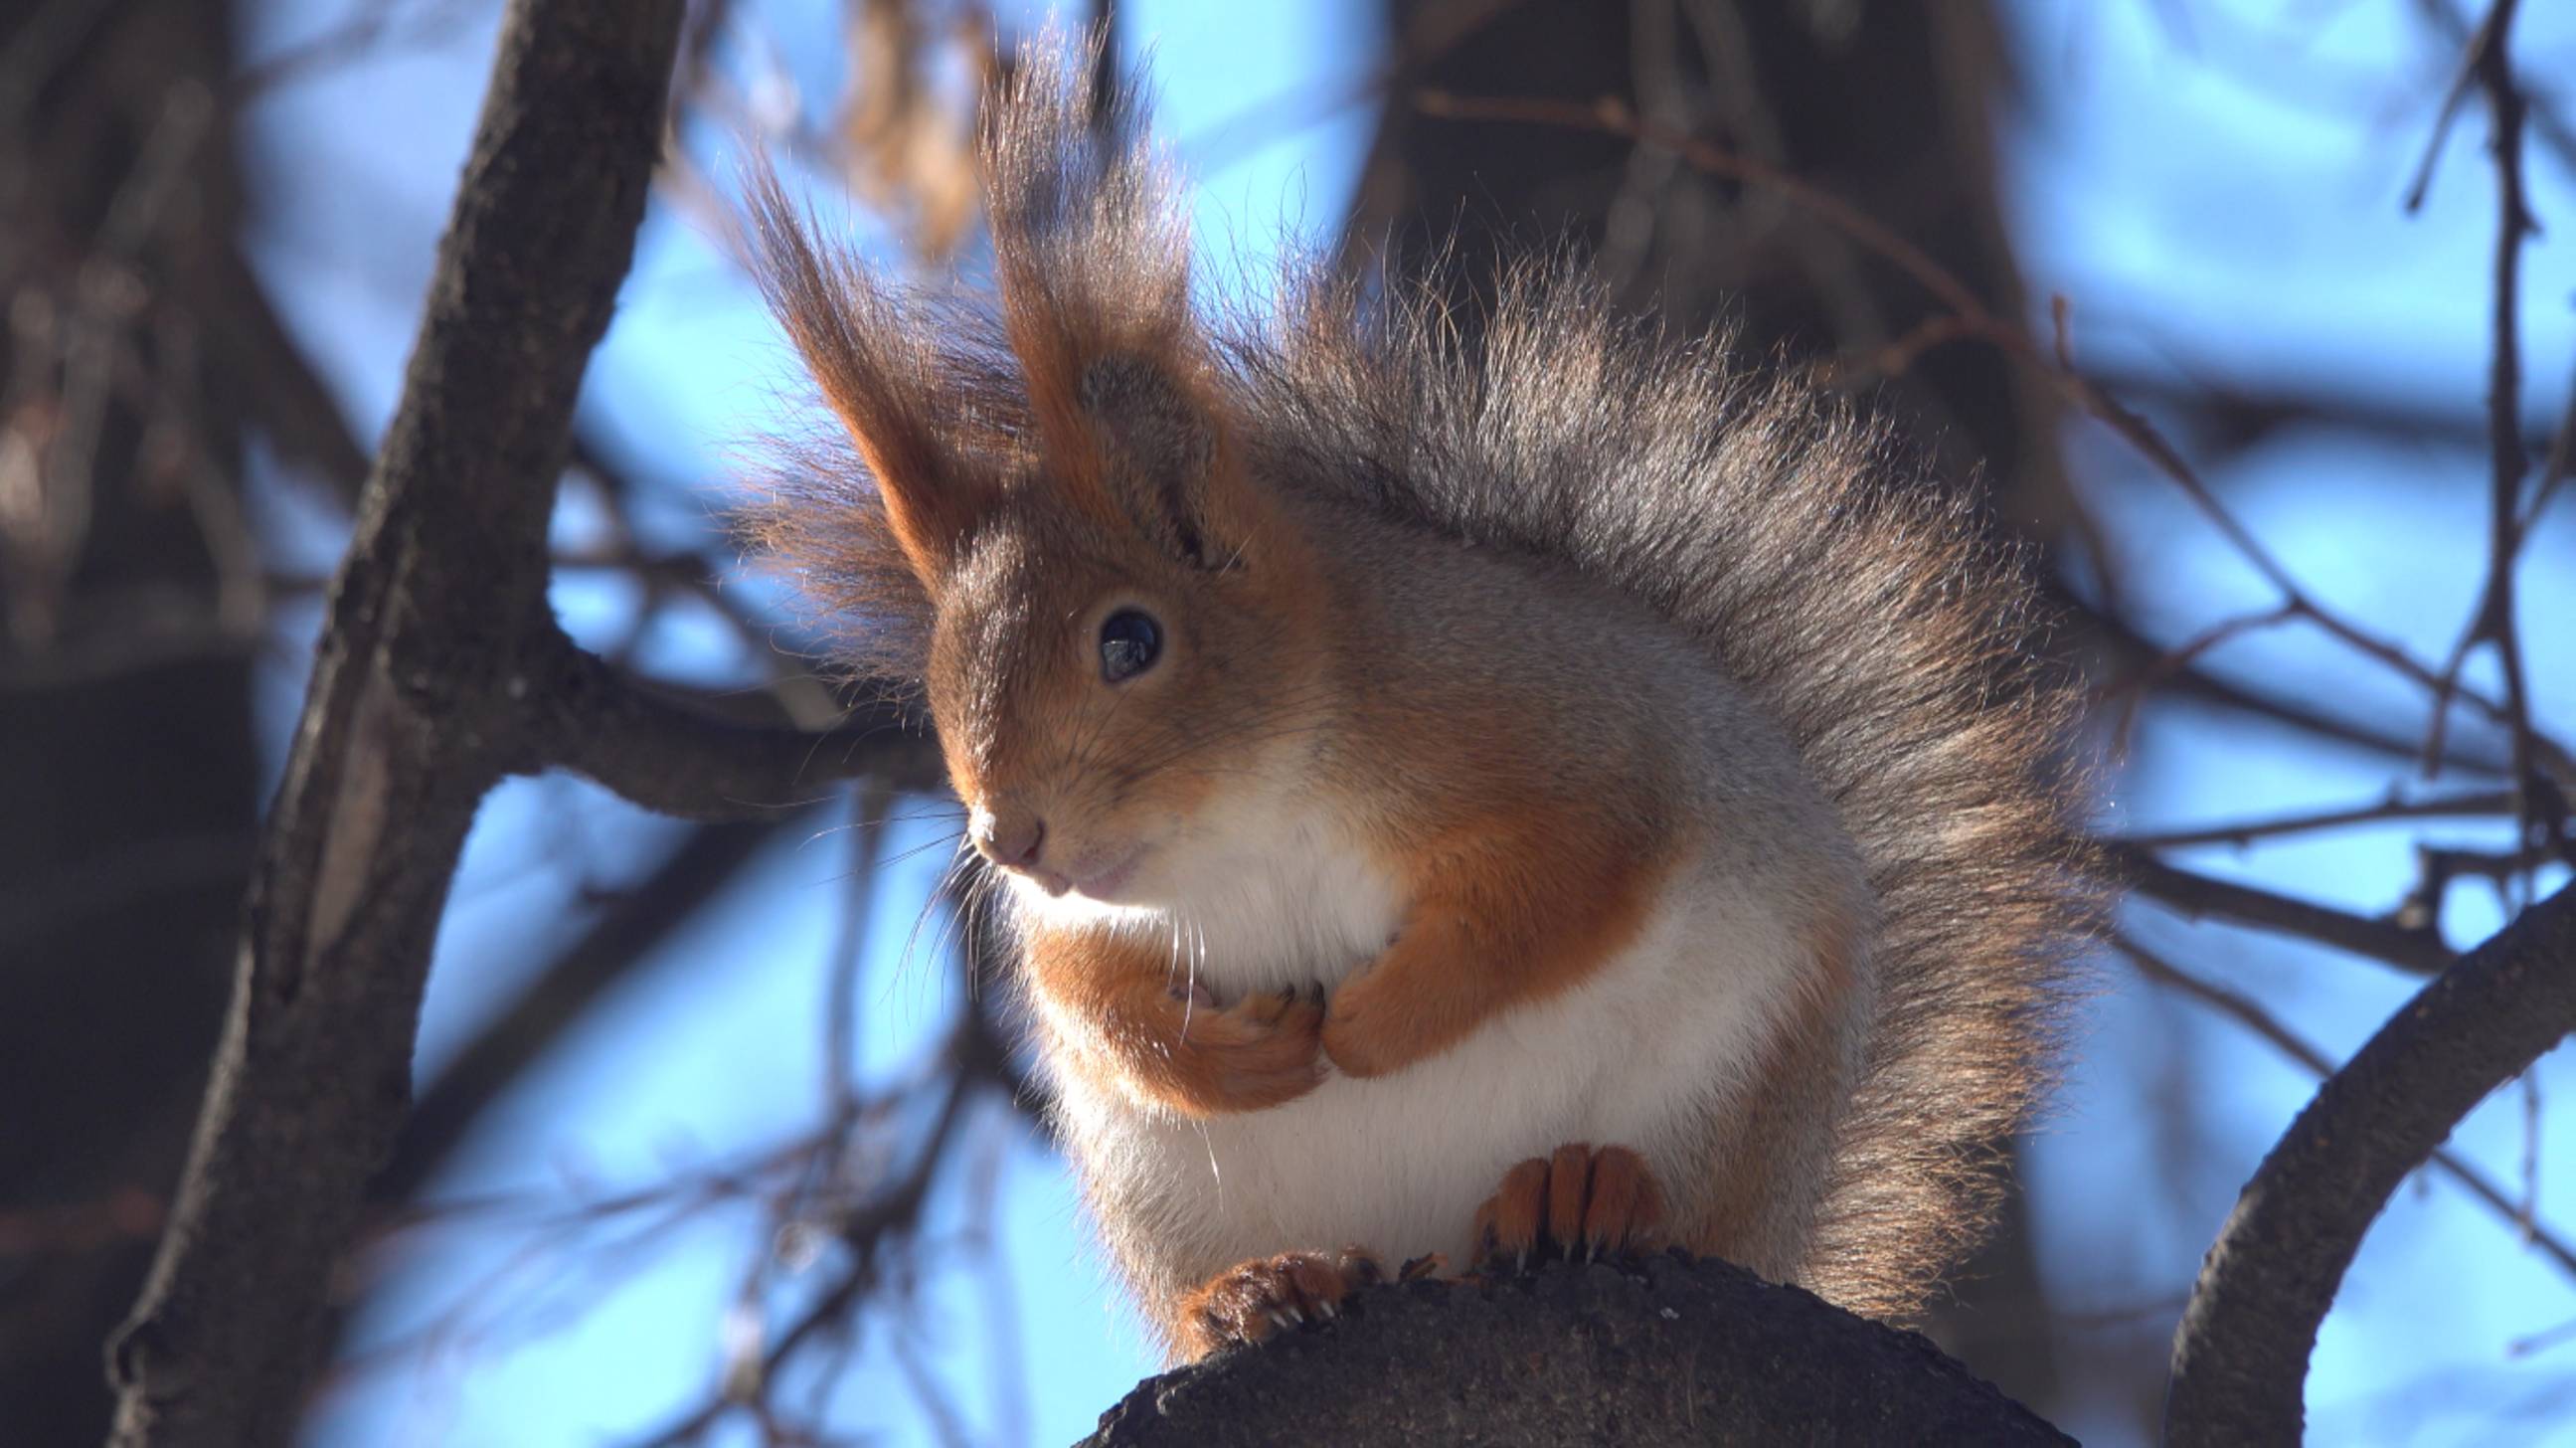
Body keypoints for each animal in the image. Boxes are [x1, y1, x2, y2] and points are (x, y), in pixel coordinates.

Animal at [742, 36, 2091, 1359]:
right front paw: (1229, 1056)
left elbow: (1556, 892)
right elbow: (1084, 999)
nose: (1006, 837)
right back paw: (1252, 1289)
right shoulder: (1076, 920)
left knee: (1678, 1203)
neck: (1246, 826)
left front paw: (1365, 1030)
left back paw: (1586, 1186)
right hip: (1159, 1193)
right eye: (937, 672)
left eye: (1131, 639)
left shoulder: (1563, 743)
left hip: (1734, 1084)